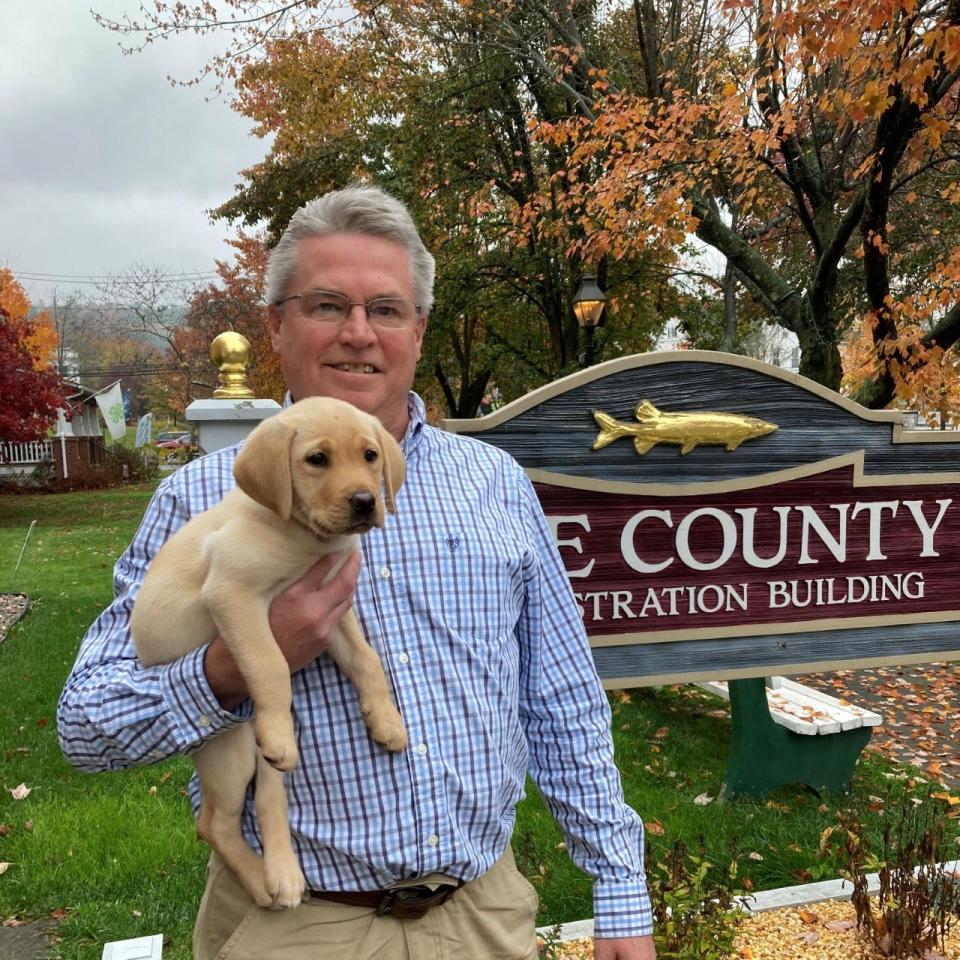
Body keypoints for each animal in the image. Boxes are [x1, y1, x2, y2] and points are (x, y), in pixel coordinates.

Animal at [132, 398, 408, 908]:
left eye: (371, 456)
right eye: (317, 459)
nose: (366, 501)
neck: (303, 536)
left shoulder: (333, 607)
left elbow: (367, 659)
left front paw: (386, 721)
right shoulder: (233, 595)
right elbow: (270, 665)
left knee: (268, 798)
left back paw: (283, 874)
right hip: (231, 749)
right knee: (214, 822)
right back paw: (261, 883)